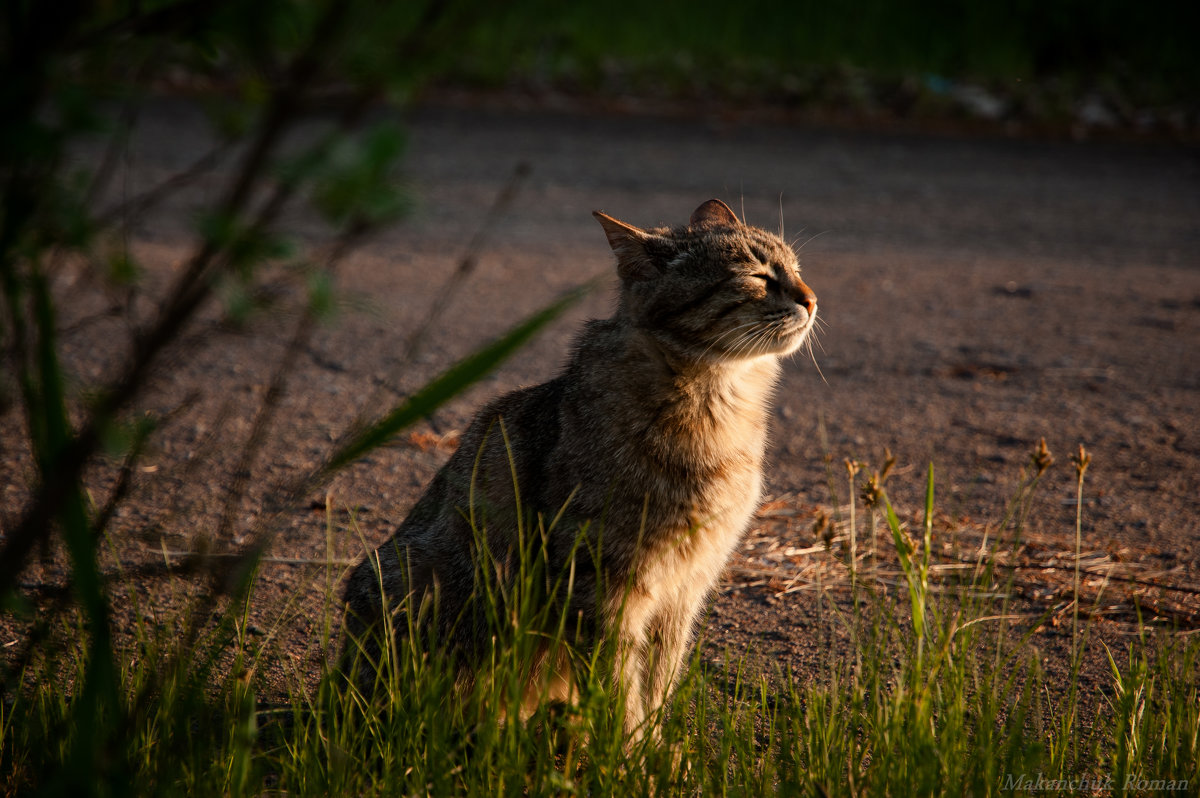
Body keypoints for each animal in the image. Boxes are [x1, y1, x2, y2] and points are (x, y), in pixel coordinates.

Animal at [343, 199, 820, 734]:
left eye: (797, 269)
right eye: (758, 277)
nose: (812, 299)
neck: (715, 403)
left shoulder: (683, 591)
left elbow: (657, 687)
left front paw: (658, 748)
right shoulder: (601, 587)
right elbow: (619, 694)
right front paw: (631, 750)